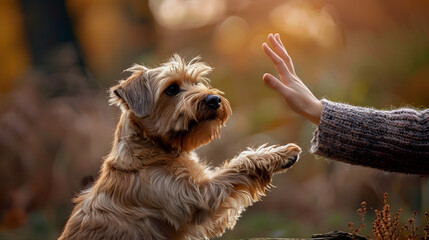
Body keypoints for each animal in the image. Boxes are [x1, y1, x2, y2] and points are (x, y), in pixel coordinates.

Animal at [58, 54, 300, 240]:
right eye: (172, 89)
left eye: (196, 82)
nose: (214, 99)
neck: (154, 147)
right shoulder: (199, 199)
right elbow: (239, 164)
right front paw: (283, 153)